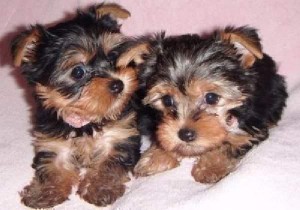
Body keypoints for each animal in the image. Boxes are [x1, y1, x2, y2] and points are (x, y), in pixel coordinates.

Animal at [12, 2, 149, 208]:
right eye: (78, 72)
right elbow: (52, 167)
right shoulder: (53, 141)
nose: (118, 84)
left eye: (113, 56)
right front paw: (44, 192)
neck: (85, 119)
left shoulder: (120, 134)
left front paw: (101, 187)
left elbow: (109, 163)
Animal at [134, 26, 288, 184]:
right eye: (166, 100)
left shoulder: (249, 129)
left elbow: (230, 143)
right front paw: (154, 157)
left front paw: (209, 167)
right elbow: (164, 136)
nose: (185, 134)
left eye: (211, 98)